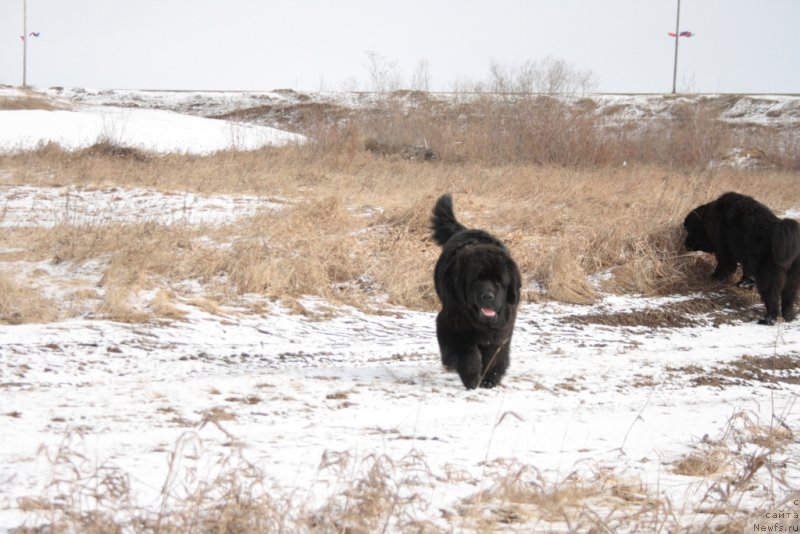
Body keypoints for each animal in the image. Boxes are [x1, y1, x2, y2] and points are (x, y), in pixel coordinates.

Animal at [428, 194, 520, 390]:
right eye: (477, 281)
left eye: (498, 282)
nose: (488, 296)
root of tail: (468, 229)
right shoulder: (454, 323)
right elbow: (467, 352)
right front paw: (471, 377)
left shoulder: (502, 329)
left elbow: (495, 355)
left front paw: (489, 378)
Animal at [680, 193, 800, 326]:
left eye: (690, 229)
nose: (685, 243)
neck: (708, 217)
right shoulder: (746, 256)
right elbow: (747, 271)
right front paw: (744, 283)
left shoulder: (725, 250)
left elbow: (725, 266)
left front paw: (715, 277)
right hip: (793, 279)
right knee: (788, 298)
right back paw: (789, 316)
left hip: (768, 276)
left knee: (772, 298)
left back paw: (768, 319)